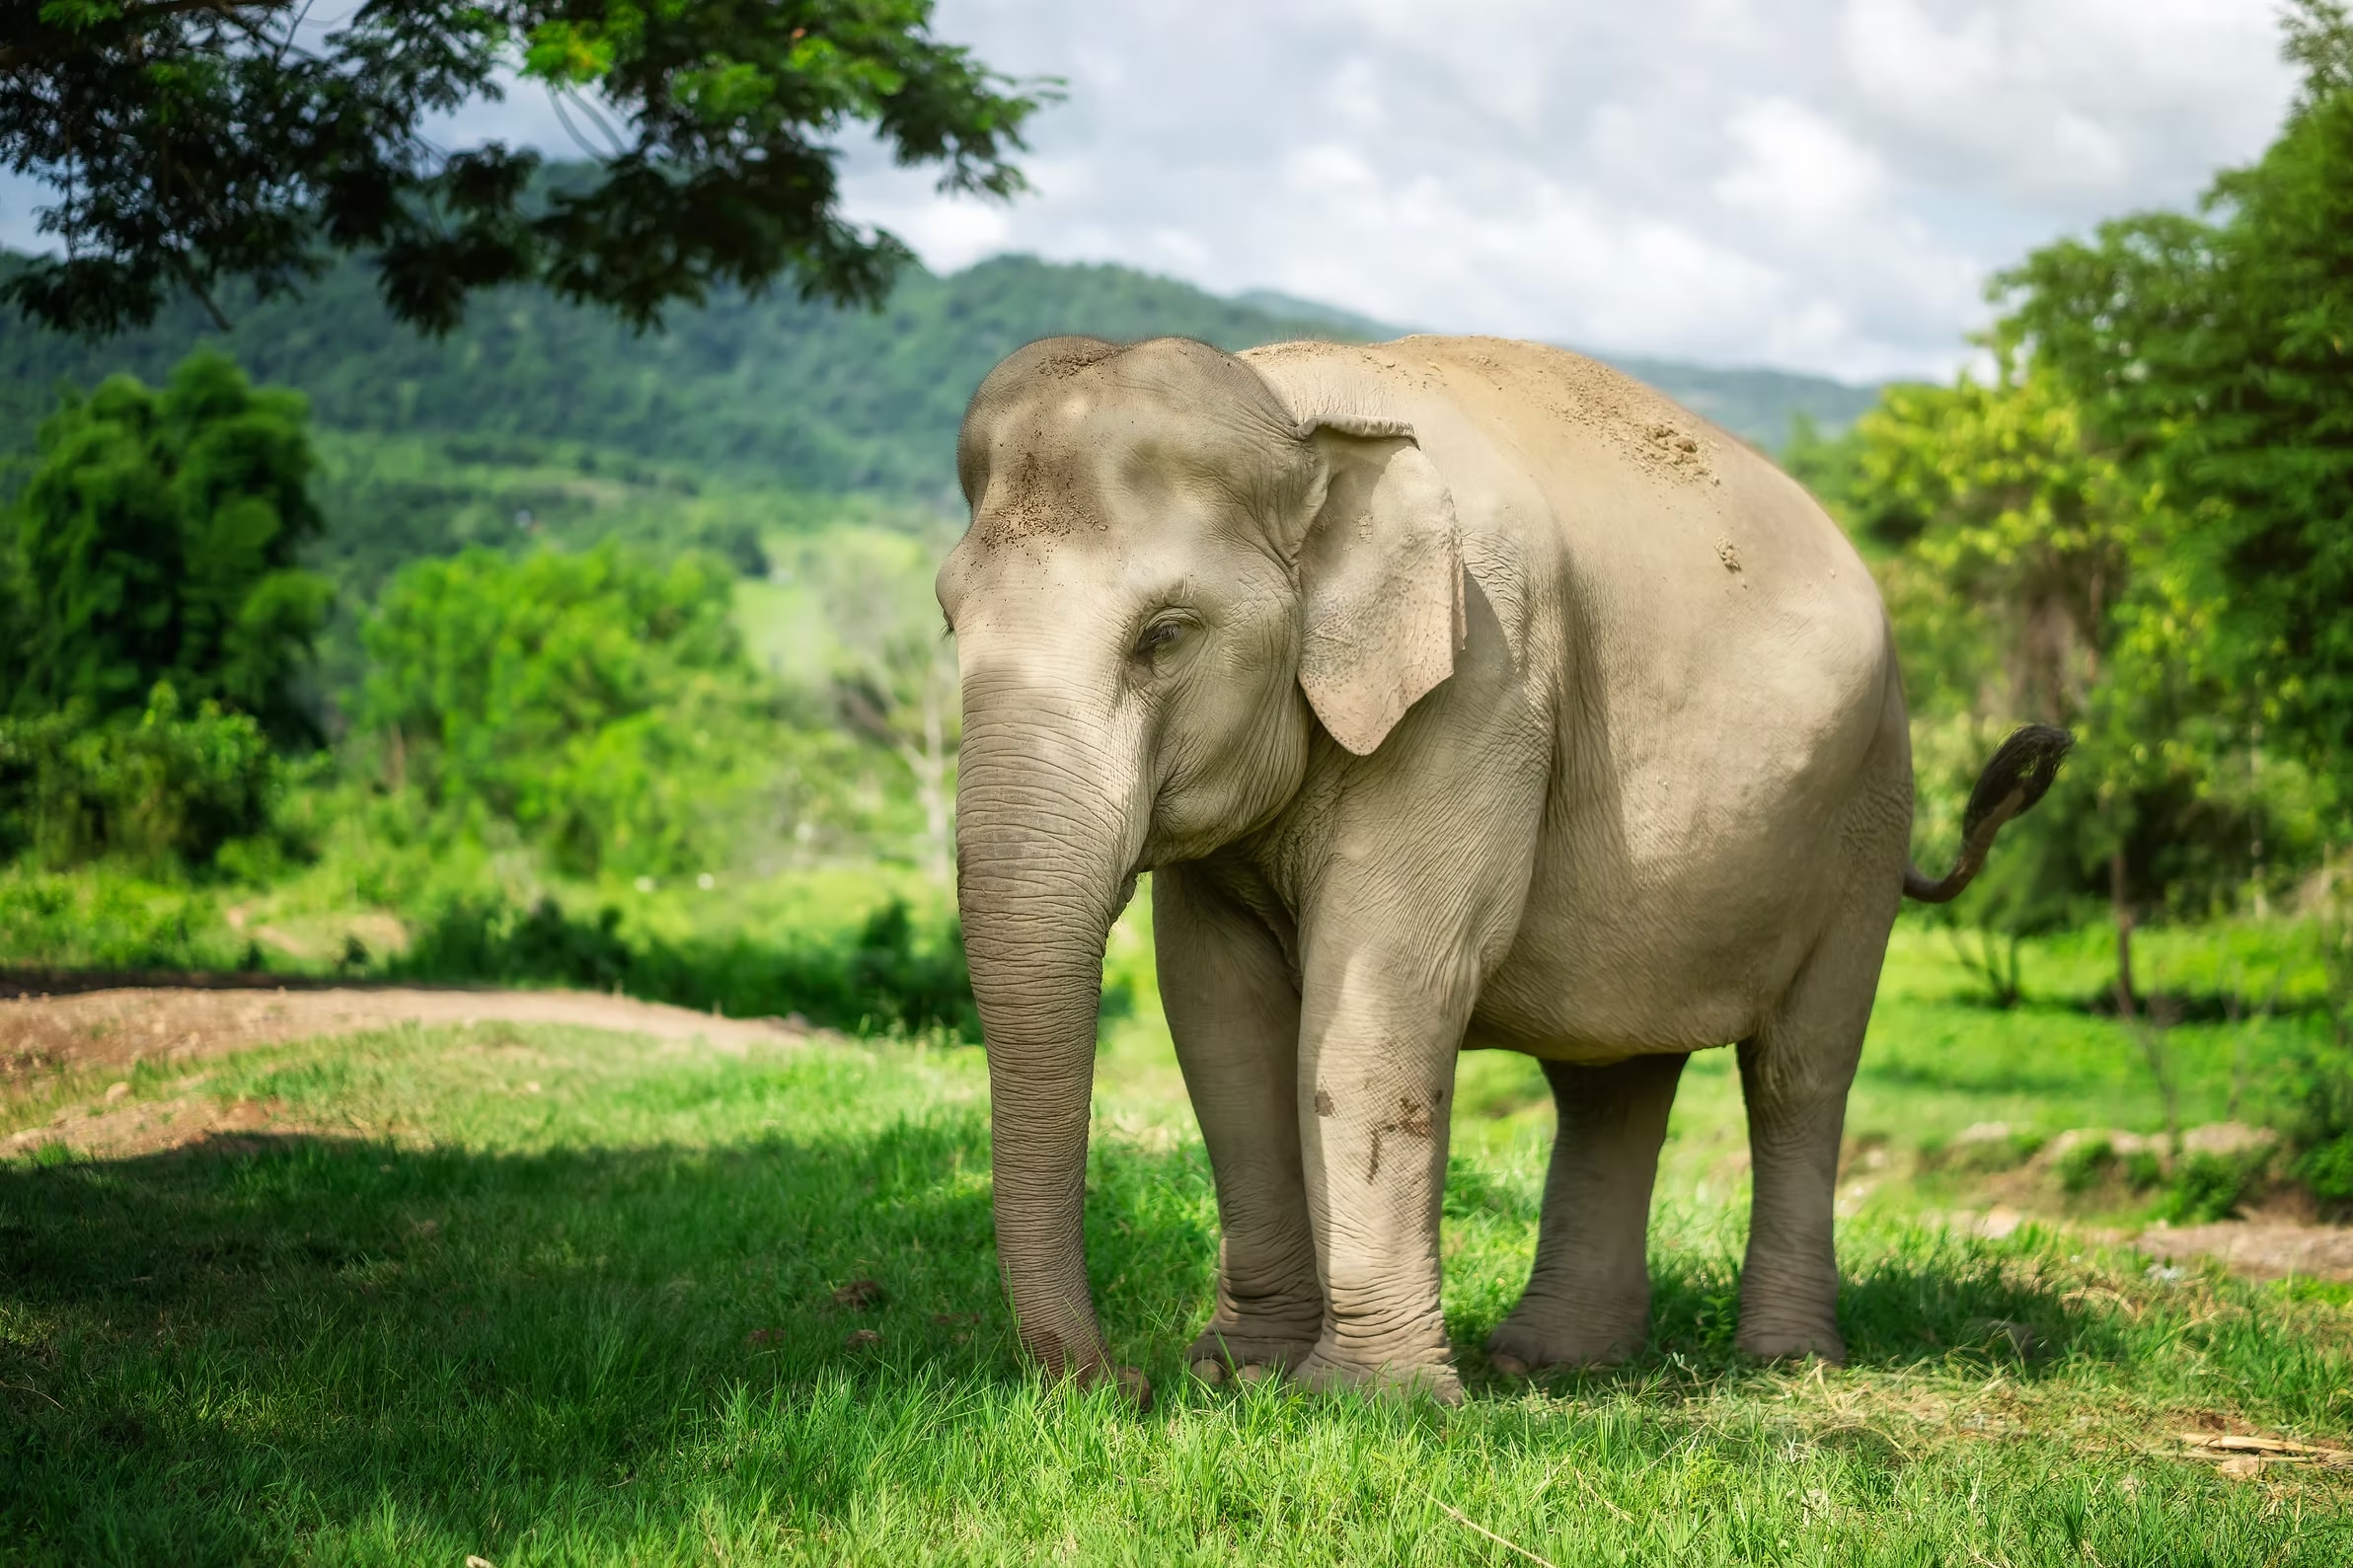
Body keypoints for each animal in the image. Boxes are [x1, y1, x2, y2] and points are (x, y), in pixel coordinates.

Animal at [936, 331, 2069, 1403]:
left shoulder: (1485, 670)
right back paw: (1554, 1361)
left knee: (1799, 1071)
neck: (1296, 414)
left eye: (1165, 635)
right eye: (950, 621)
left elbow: (1385, 992)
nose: (1121, 1382)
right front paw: (1236, 1374)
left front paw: (1367, 1402)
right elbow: (1218, 1013)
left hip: (1869, 805)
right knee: (1612, 1082)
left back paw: (1785, 1359)